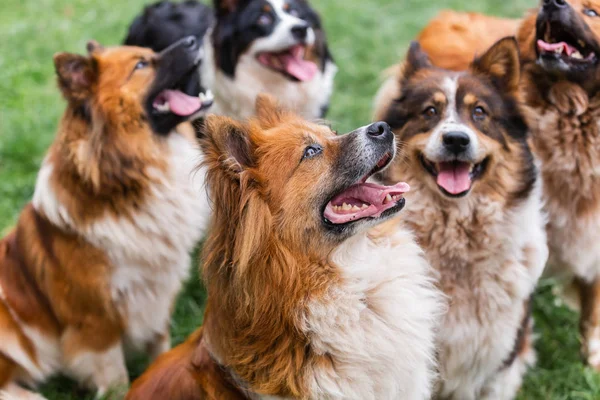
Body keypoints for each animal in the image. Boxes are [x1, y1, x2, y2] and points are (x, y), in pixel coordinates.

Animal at [0, 36, 211, 396]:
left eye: (150, 54)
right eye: (141, 65)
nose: (193, 39)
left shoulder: (158, 295)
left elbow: (160, 349)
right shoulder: (97, 318)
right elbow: (114, 377)